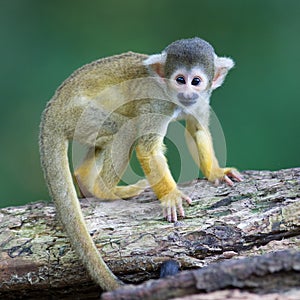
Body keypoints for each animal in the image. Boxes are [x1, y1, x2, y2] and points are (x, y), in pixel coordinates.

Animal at [39, 37, 241, 290]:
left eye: (196, 81)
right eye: (180, 80)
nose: (186, 92)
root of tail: (52, 110)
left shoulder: (201, 99)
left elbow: (198, 129)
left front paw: (215, 172)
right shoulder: (156, 104)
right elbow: (147, 148)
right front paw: (171, 196)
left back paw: (86, 181)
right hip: (78, 116)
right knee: (124, 130)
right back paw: (104, 190)